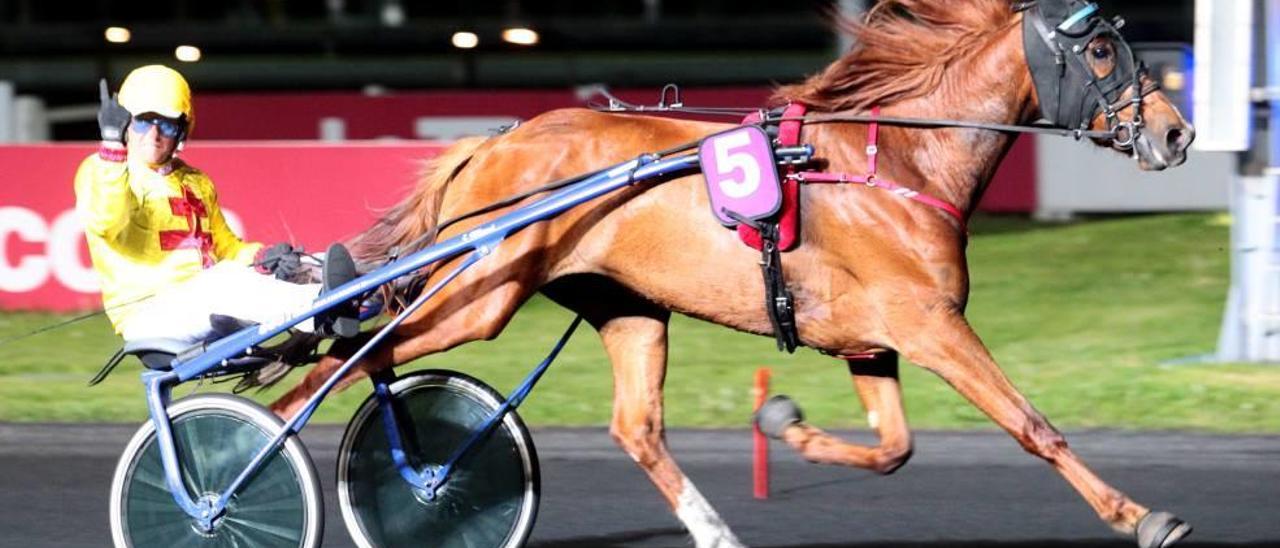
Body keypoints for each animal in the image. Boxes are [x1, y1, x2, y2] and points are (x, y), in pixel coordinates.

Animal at [275, 2, 1192, 545]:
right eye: (1102, 47)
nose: (1177, 134)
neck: (896, 160)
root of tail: (493, 142)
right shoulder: (930, 324)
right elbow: (1033, 426)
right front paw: (1141, 516)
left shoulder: (873, 340)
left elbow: (894, 448)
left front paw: (785, 424)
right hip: (481, 293)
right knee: (339, 364)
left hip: (625, 306)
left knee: (636, 428)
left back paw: (711, 527)